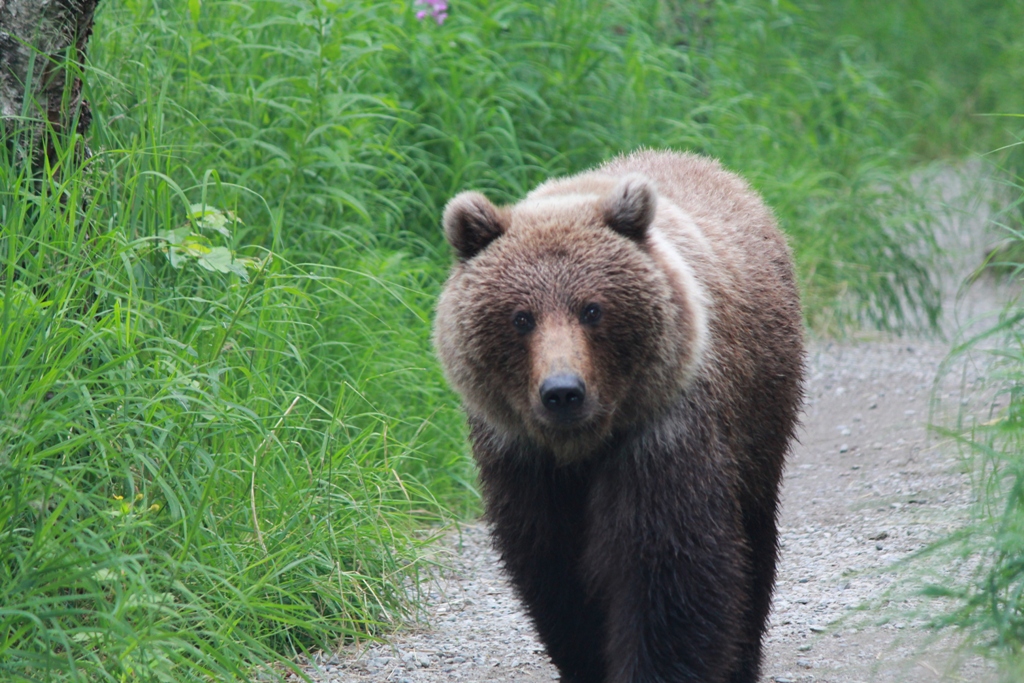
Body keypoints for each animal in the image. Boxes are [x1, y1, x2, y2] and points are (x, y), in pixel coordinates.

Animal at [436, 150, 802, 683]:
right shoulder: (524, 460)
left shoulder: (662, 431)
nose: (563, 393)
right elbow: (554, 570)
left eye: (592, 309)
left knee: (753, 535)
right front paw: (586, 657)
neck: (582, 445)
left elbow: (668, 567)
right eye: (521, 317)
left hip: (760, 408)